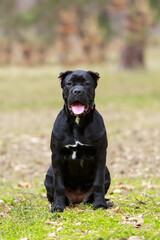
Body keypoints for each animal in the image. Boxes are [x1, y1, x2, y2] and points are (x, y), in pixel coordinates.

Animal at [44, 70, 110, 212]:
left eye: (87, 83)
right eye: (69, 83)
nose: (77, 91)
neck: (77, 122)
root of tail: (77, 200)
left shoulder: (100, 154)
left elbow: (98, 182)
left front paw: (100, 204)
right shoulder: (57, 155)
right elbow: (59, 185)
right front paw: (58, 206)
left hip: (107, 171)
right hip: (49, 174)